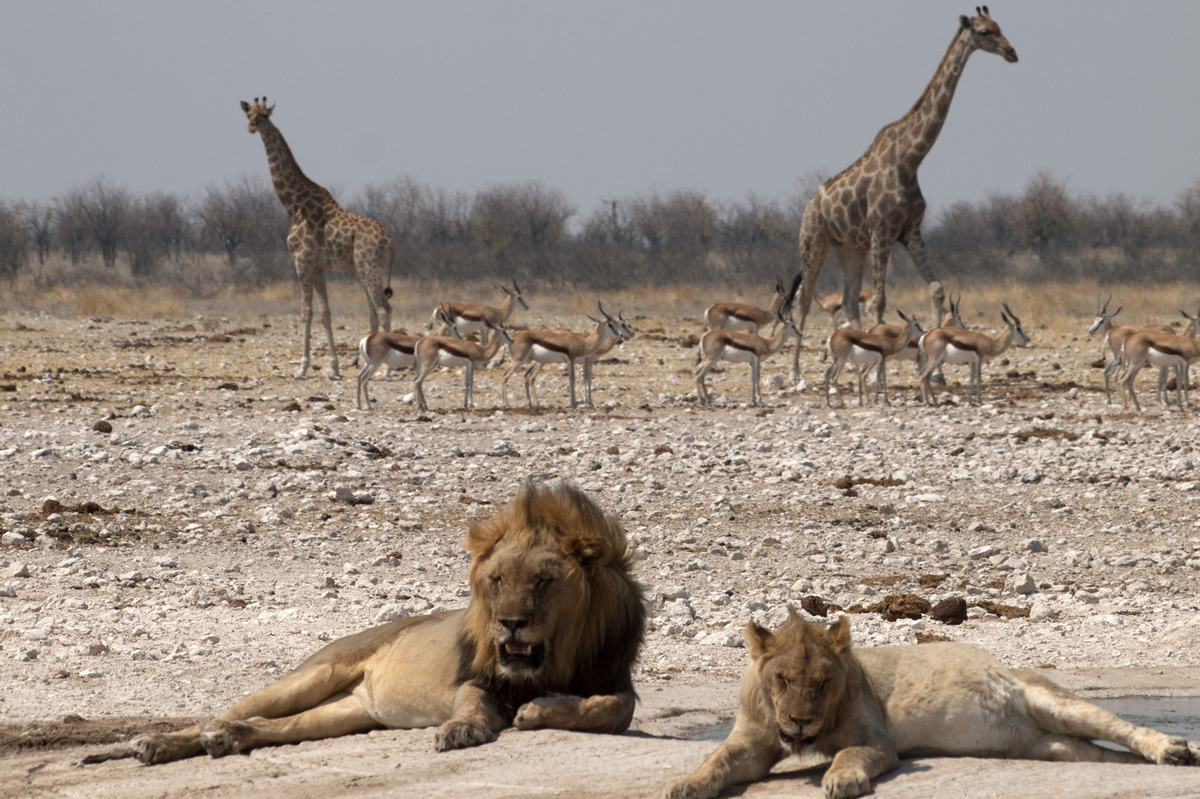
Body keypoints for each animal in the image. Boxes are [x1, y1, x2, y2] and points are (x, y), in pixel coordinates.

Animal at [84, 482, 648, 763]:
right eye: (497, 579)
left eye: (545, 581)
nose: (509, 624)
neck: (552, 662)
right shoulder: (477, 677)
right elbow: (472, 704)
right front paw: (462, 729)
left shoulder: (616, 679)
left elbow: (612, 710)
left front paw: (542, 710)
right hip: (315, 673)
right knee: (221, 713)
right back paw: (160, 743)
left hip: (344, 713)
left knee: (266, 727)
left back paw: (223, 741)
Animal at [241, 97, 396, 379]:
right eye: (249, 114)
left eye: (265, 115)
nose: (251, 127)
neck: (293, 205)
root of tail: (389, 240)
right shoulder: (318, 266)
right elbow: (325, 312)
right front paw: (333, 367)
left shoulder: (301, 260)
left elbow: (306, 312)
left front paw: (302, 367)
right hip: (369, 269)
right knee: (374, 310)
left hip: (368, 267)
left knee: (383, 309)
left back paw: (387, 371)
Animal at [667, 604, 1200, 796]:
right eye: (781, 679)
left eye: (822, 682)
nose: (798, 722)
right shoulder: (753, 739)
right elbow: (718, 759)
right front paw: (685, 784)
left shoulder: (877, 740)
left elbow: (847, 753)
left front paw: (842, 779)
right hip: (1050, 746)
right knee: (1102, 754)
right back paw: (1173, 759)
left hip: (1055, 703)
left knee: (1122, 729)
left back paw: (1175, 748)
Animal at [792, 5, 1017, 379]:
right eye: (985, 31)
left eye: (1000, 26)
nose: (1012, 52)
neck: (910, 158)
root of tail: (810, 205)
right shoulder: (883, 232)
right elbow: (881, 300)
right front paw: (883, 364)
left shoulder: (910, 231)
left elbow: (937, 289)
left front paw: (937, 372)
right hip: (814, 242)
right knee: (805, 299)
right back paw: (797, 373)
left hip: (848, 247)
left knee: (849, 300)